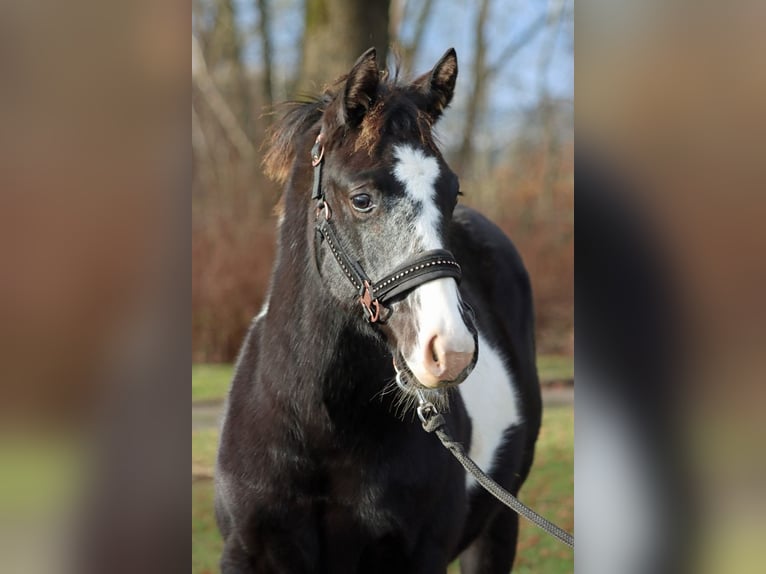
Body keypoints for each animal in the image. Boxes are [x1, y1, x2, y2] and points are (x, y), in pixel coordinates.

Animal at [215, 47, 542, 574]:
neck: (322, 425)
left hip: (498, 526)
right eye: (362, 199)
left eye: (452, 193)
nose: (449, 350)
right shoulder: (246, 555)